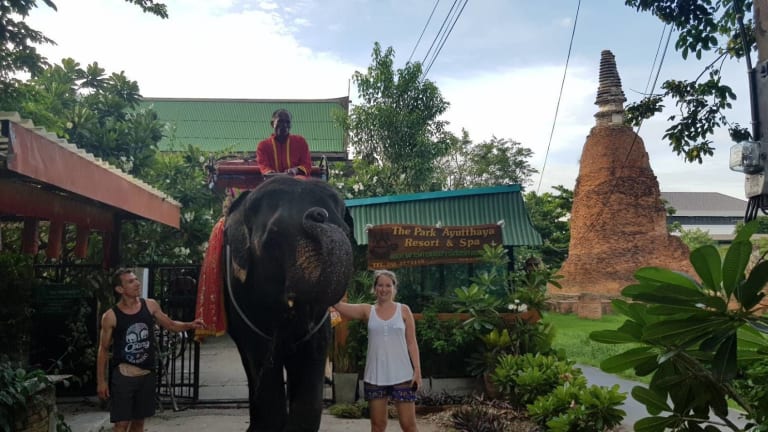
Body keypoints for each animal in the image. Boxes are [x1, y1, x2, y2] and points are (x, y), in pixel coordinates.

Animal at [223, 176, 354, 431]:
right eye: (272, 238)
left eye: (345, 232)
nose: (318, 214)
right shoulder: (242, 298)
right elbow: (261, 357)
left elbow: (313, 354)